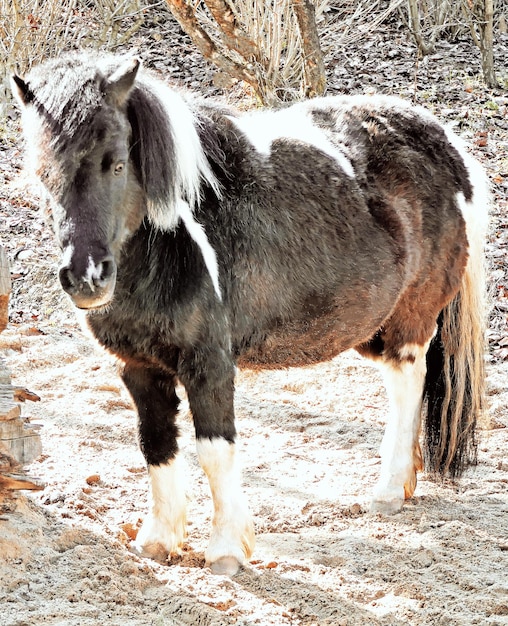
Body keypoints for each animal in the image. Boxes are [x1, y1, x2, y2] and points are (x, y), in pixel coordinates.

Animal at [12, 53, 488, 576]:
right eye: (42, 173)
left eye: (117, 163)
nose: (86, 277)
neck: (174, 239)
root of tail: (445, 142)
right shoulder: (137, 368)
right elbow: (155, 444)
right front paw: (159, 541)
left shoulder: (209, 366)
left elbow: (214, 451)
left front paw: (225, 549)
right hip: (374, 328)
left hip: (410, 318)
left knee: (409, 381)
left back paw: (387, 492)